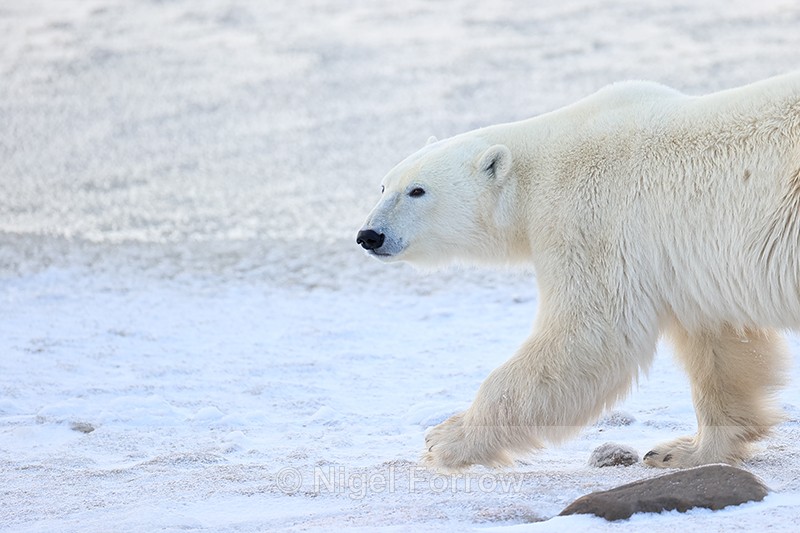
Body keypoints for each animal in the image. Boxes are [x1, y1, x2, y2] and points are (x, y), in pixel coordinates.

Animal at [356, 71, 800, 472]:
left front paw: (445, 438)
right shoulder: (687, 266)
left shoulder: (590, 216)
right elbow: (721, 346)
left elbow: (588, 335)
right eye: (383, 186)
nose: (369, 235)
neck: (537, 169)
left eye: (417, 190)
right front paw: (683, 451)